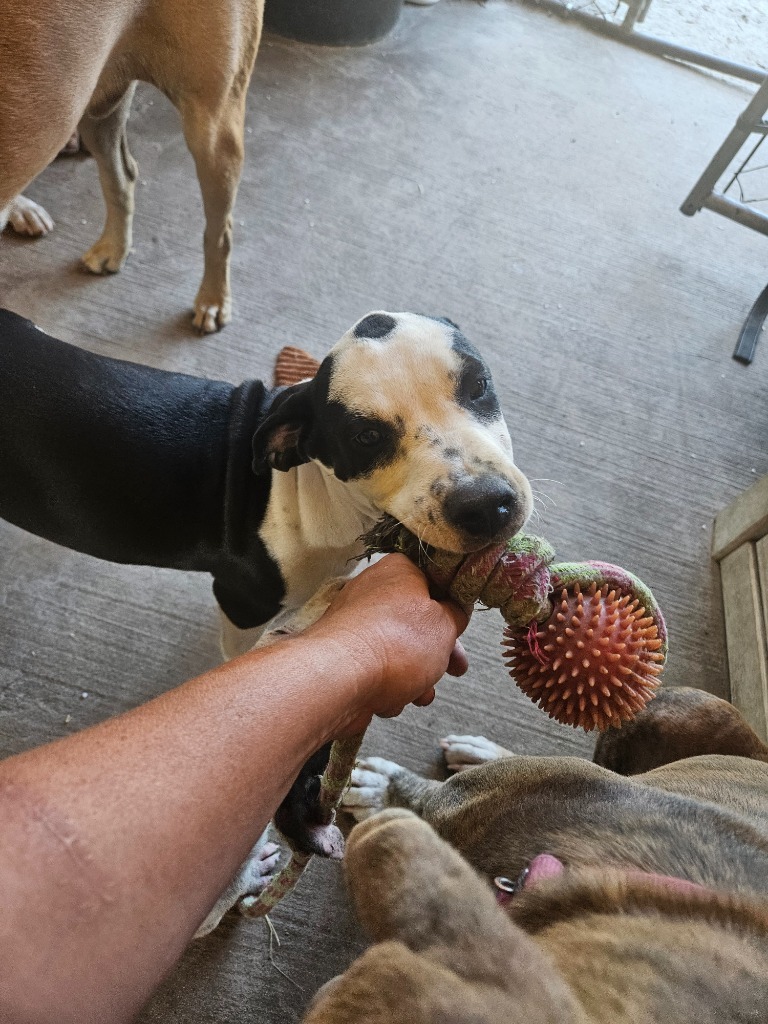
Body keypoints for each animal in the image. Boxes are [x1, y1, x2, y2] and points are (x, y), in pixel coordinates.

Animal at [0, 0, 264, 329]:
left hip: (213, 129)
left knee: (220, 231)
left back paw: (213, 300)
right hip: (94, 107)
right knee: (122, 178)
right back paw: (113, 248)